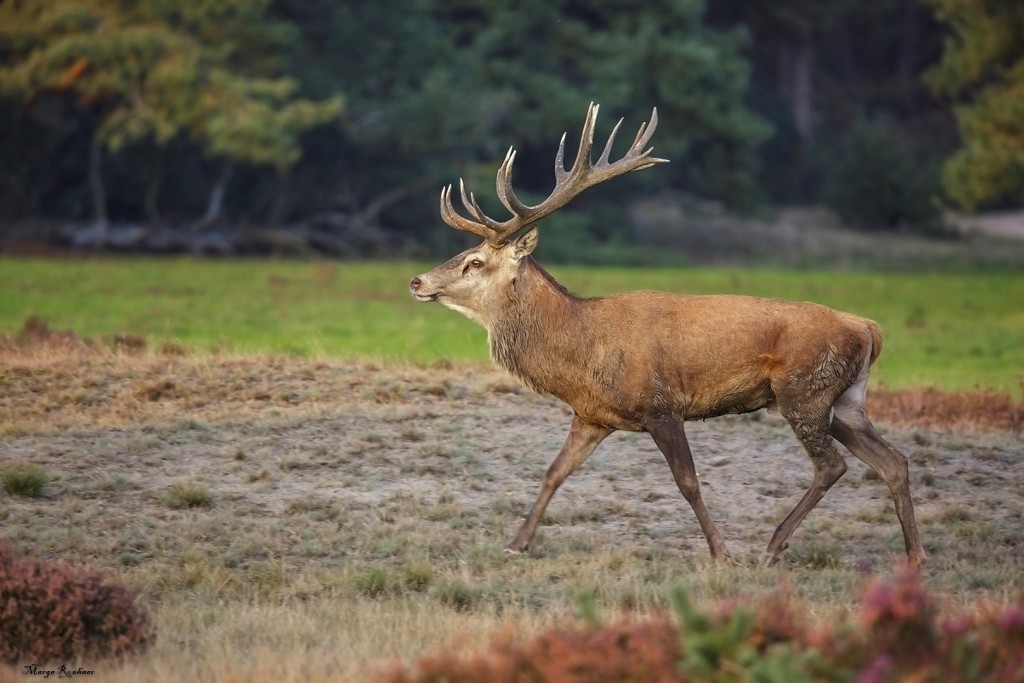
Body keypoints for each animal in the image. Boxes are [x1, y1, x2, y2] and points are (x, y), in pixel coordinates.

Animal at [409, 103, 925, 567]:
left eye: (476, 261)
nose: (417, 281)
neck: (581, 350)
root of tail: (868, 329)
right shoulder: (592, 414)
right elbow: (554, 472)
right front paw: (516, 544)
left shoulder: (661, 405)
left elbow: (688, 481)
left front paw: (720, 553)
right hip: (845, 400)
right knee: (893, 461)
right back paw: (914, 555)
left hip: (805, 390)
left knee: (832, 465)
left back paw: (773, 545)